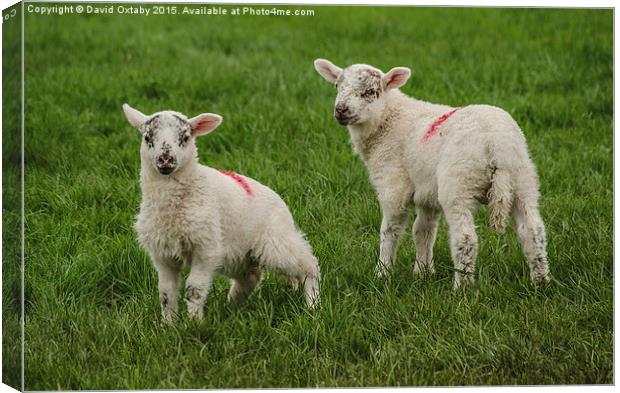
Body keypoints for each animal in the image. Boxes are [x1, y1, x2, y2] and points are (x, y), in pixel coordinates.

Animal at [124, 105, 322, 322]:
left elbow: (194, 290)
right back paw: (231, 308)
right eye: (147, 137)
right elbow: (166, 293)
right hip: (239, 254)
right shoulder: (163, 254)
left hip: (276, 243)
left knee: (308, 265)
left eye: (185, 137)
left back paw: (313, 305)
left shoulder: (206, 248)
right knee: (250, 277)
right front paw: (168, 325)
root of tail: (280, 201)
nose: (165, 159)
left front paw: (194, 323)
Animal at [314, 59, 552, 286]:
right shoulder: (427, 194)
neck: (387, 121)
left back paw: (463, 287)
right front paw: (423, 272)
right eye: (337, 86)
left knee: (466, 239)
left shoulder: (393, 186)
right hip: (522, 179)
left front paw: (383, 273)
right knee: (533, 230)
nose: (341, 110)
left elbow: (390, 231)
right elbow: (423, 231)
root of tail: (497, 144)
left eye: (370, 92)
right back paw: (541, 281)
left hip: (458, 182)